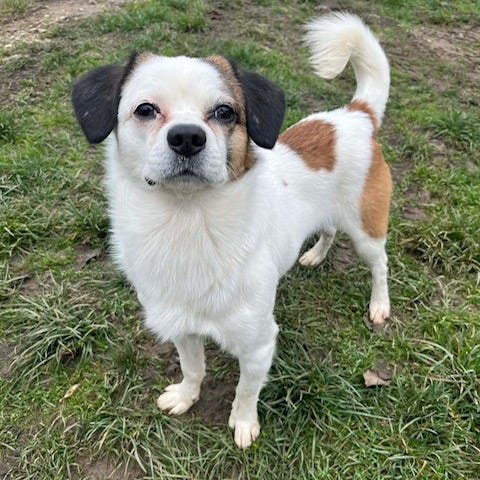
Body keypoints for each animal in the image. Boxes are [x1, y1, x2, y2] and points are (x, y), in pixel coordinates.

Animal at [72, 13, 392, 449]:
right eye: (145, 109)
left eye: (224, 112)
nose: (187, 137)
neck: (188, 223)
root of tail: (356, 115)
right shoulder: (183, 329)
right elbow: (193, 368)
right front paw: (186, 396)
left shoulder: (258, 343)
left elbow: (246, 389)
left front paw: (243, 423)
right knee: (327, 230)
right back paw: (314, 254)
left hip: (366, 230)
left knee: (380, 265)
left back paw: (380, 305)